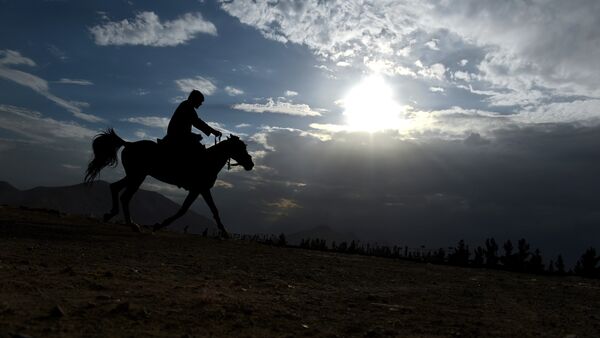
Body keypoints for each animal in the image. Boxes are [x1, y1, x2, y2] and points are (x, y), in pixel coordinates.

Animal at [84, 128, 253, 236]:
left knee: (114, 187)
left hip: (133, 175)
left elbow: (214, 210)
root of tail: (129, 144)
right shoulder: (198, 189)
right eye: (240, 147)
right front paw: (159, 225)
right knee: (125, 197)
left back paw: (110, 214)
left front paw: (224, 232)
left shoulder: (202, 189)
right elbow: (183, 210)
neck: (209, 161)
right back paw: (132, 225)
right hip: (138, 176)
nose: (250, 164)